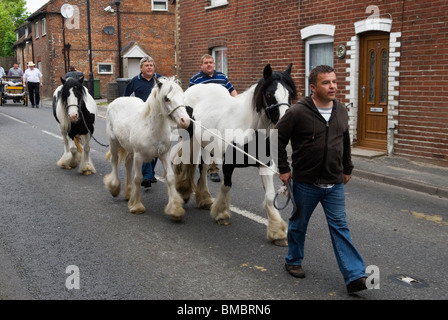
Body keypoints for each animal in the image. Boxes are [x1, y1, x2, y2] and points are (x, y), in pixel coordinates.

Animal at [104, 76, 191, 219]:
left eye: (182, 96)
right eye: (166, 98)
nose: (185, 121)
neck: (152, 127)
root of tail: (117, 100)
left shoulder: (164, 154)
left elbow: (170, 178)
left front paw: (175, 209)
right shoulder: (139, 157)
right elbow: (138, 178)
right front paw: (137, 206)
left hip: (129, 150)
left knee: (128, 165)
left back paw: (128, 193)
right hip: (113, 142)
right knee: (115, 161)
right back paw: (115, 187)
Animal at [175, 64, 298, 245]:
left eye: (289, 93)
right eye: (269, 94)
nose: (285, 121)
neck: (249, 129)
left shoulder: (266, 165)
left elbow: (269, 196)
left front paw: (277, 232)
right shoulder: (228, 163)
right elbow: (226, 186)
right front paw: (221, 214)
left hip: (206, 146)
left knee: (203, 169)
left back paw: (204, 199)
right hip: (189, 140)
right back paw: (184, 192)